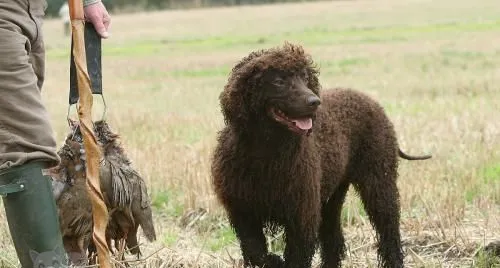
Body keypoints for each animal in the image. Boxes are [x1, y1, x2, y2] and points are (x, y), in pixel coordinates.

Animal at [211, 43, 430, 266]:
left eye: (305, 77)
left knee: (389, 232)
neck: (266, 152)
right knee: (334, 240)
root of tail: (373, 102)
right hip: (332, 195)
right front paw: (274, 261)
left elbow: (296, 258)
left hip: (378, 182)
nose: (314, 101)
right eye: (279, 81)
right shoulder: (243, 212)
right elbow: (256, 252)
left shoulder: (302, 217)